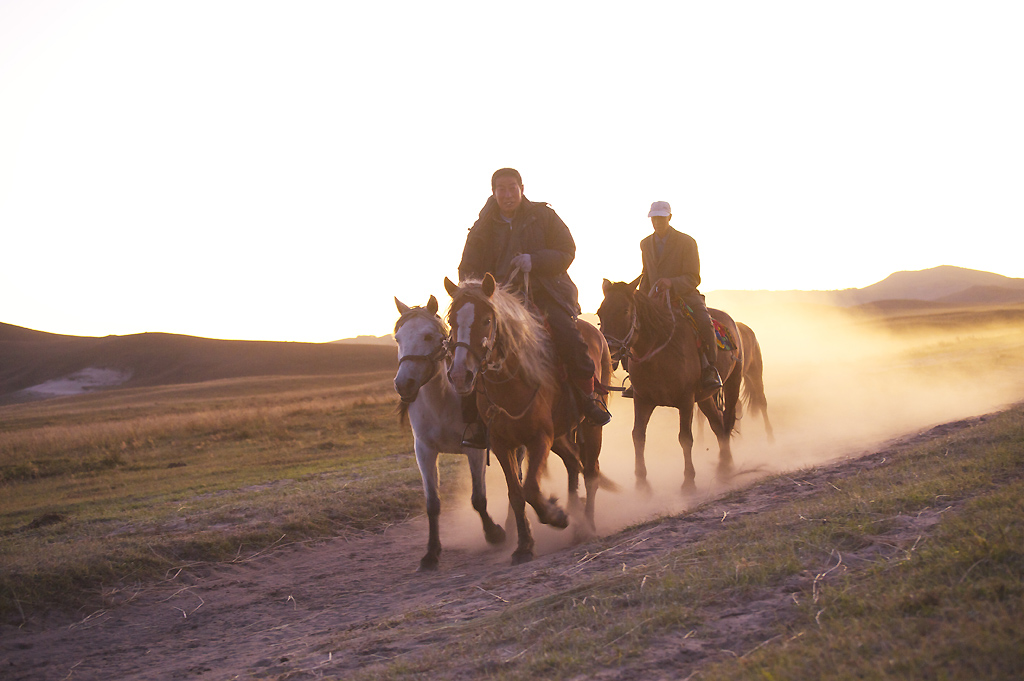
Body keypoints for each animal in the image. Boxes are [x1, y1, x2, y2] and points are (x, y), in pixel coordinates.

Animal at [393, 296, 505, 569]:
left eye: (427, 336)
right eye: (398, 338)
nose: (403, 384)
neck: (442, 401)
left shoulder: (474, 449)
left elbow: (478, 498)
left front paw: (493, 533)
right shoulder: (424, 452)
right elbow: (432, 503)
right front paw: (432, 552)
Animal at [444, 272, 610, 561]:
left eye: (487, 320)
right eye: (452, 321)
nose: (460, 375)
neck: (511, 382)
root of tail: (595, 332)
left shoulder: (539, 438)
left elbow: (531, 487)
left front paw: (556, 516)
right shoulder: (501, 444)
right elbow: (516, 493)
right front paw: (524, 545)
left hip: (590, 427)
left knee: (591, 472)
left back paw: (585, 526)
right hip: (560, 435)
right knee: (573, 463)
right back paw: (575, 510)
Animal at [593, 278, 745, 491]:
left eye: (625, 310)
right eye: (600, 312)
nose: (608, 349)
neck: (660, 354)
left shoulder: (686, 400)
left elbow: (685, 438)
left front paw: (688, 481)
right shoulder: (642, 399)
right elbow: (638, 436)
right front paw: (642, 484)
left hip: (733, 383)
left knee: (728, 419)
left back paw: (726, 467)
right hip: (704, 398)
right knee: (717, 424)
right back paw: (724, 465)